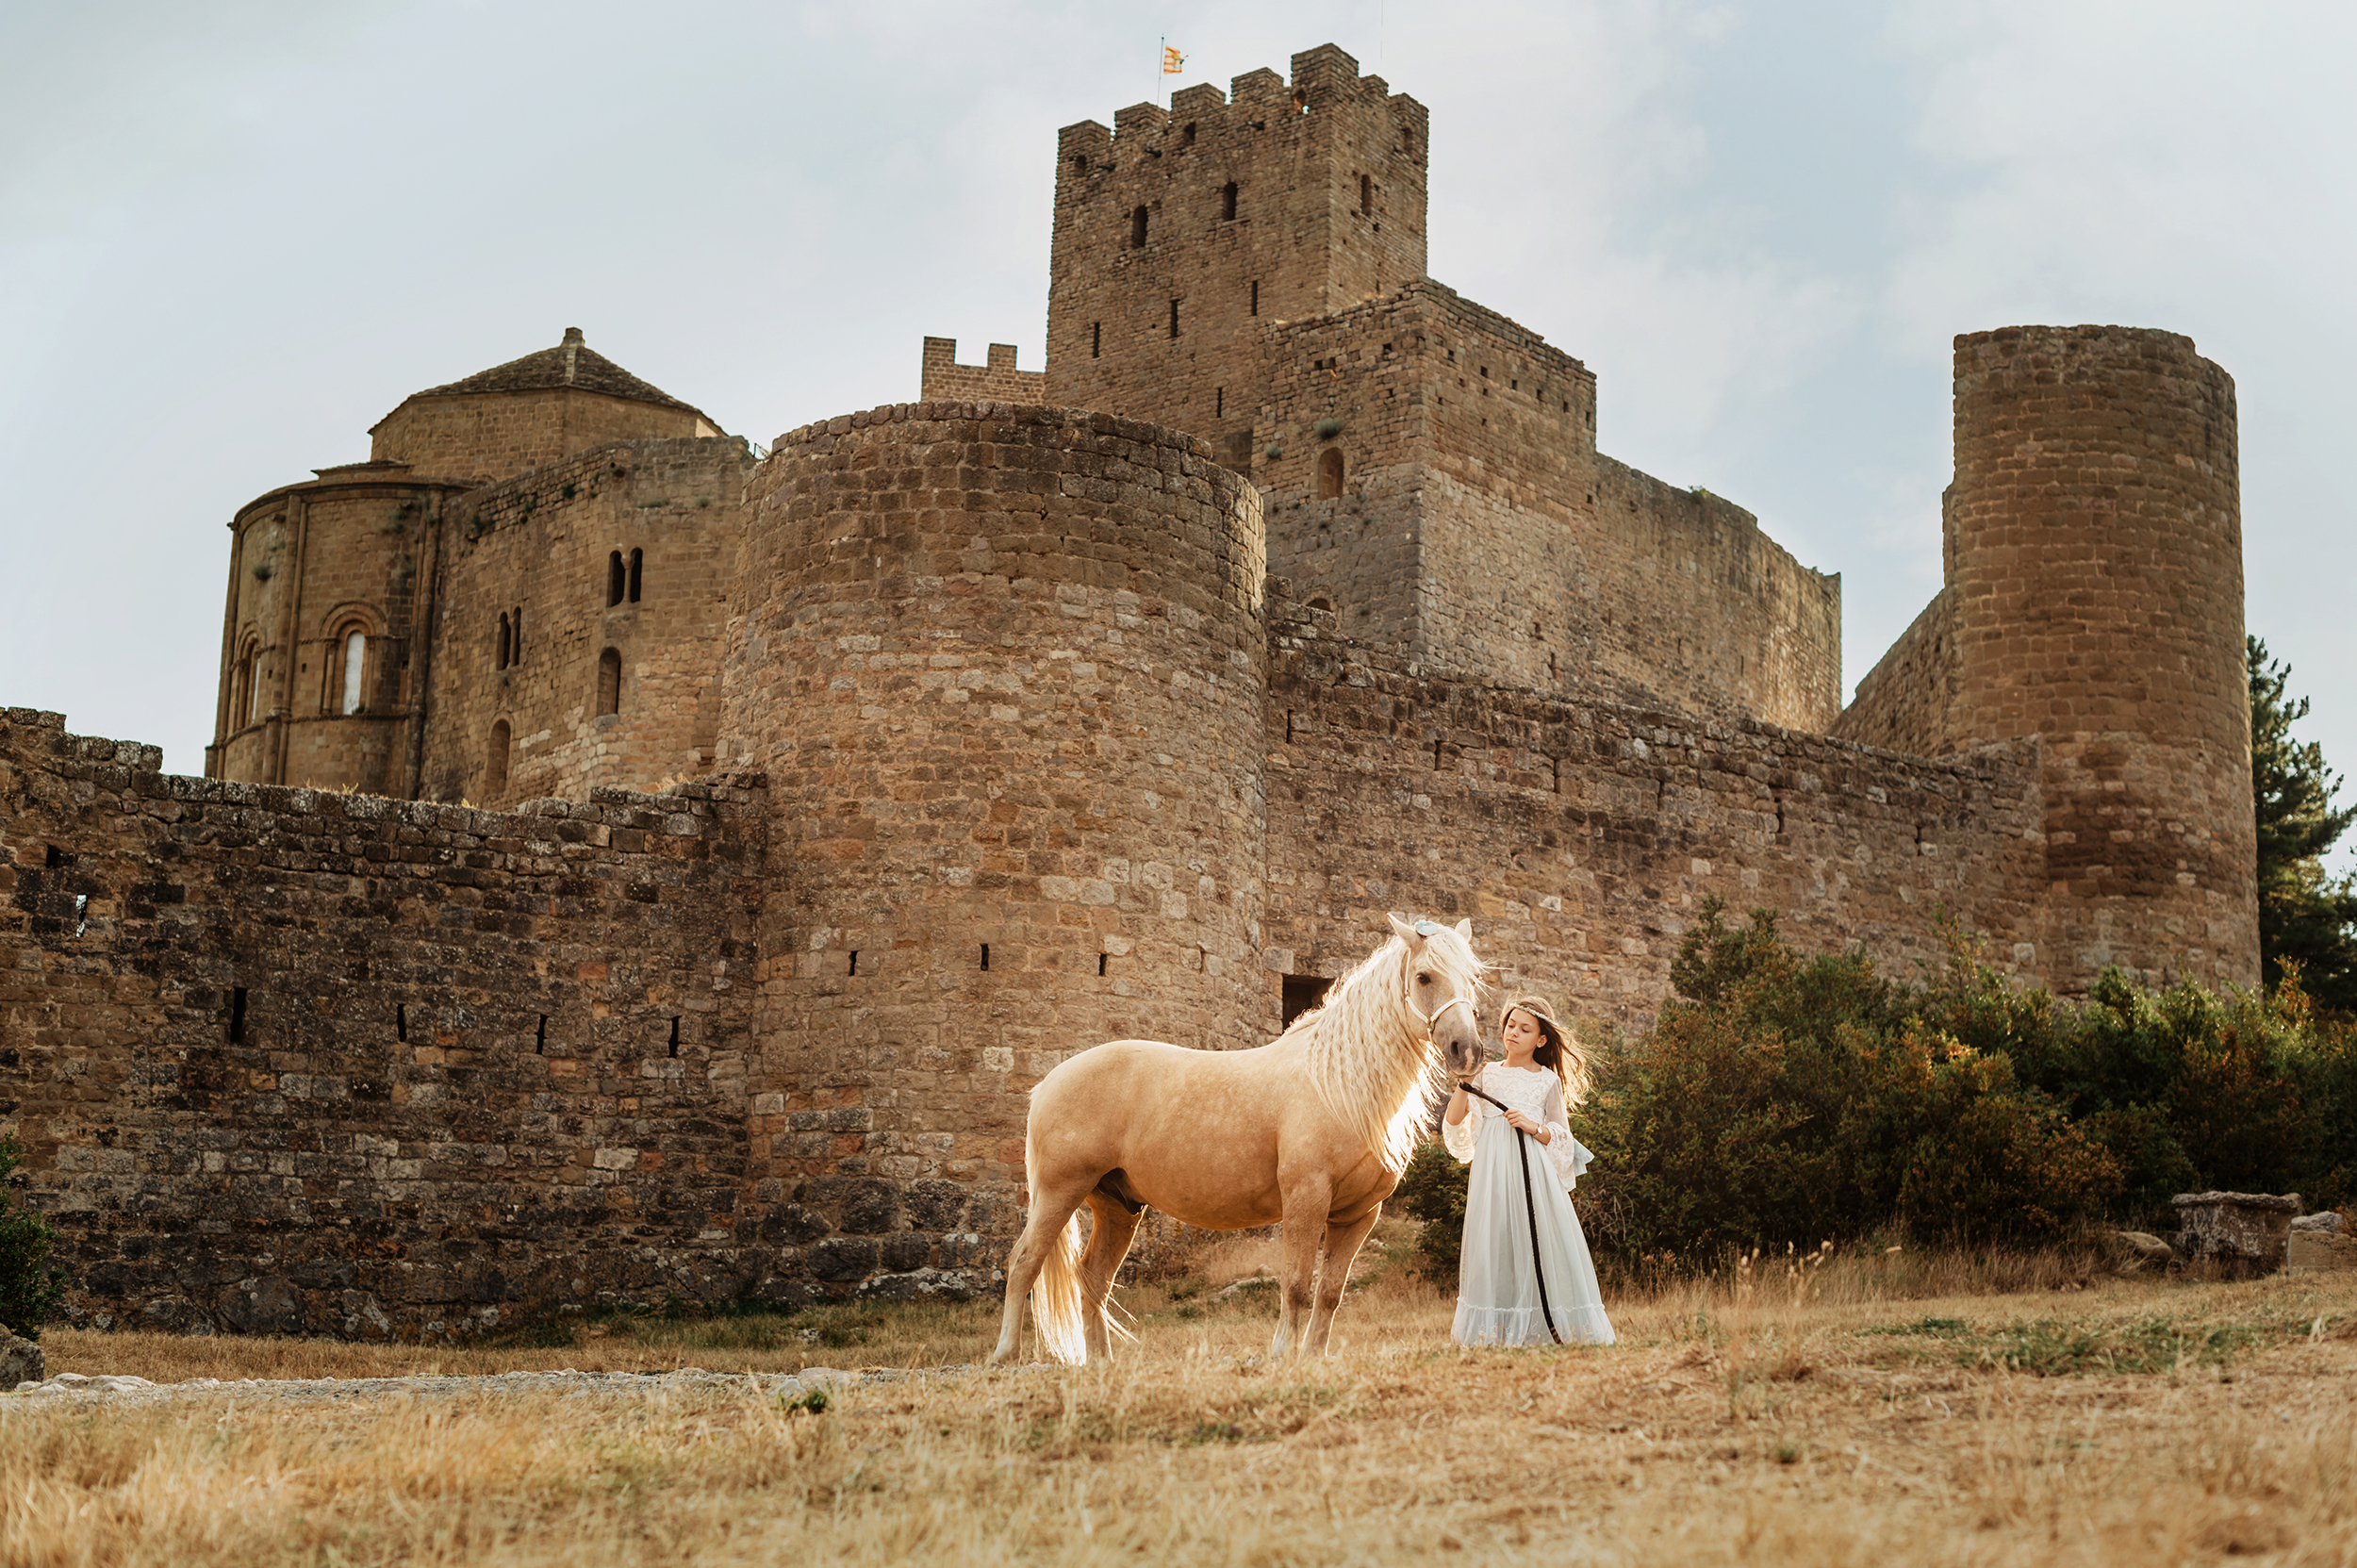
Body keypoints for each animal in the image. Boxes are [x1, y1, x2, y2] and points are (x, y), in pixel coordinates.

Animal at [985, 910, 1480, 1367]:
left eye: (1472, 977)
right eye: (1424, 976)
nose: (1468, 1051)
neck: (1336, 1086)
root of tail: (1048, 1082)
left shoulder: (1358, 1216)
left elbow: (1329, 1294)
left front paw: (1312, 1358)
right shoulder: (1305, 1199)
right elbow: (1296, 1286)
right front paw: (1283, 1355)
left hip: (1117, 1206)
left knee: (1093, 1277)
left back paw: (1102, 1363)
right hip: (1059, 1191)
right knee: (1024, 1261)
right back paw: (1005, 1354)